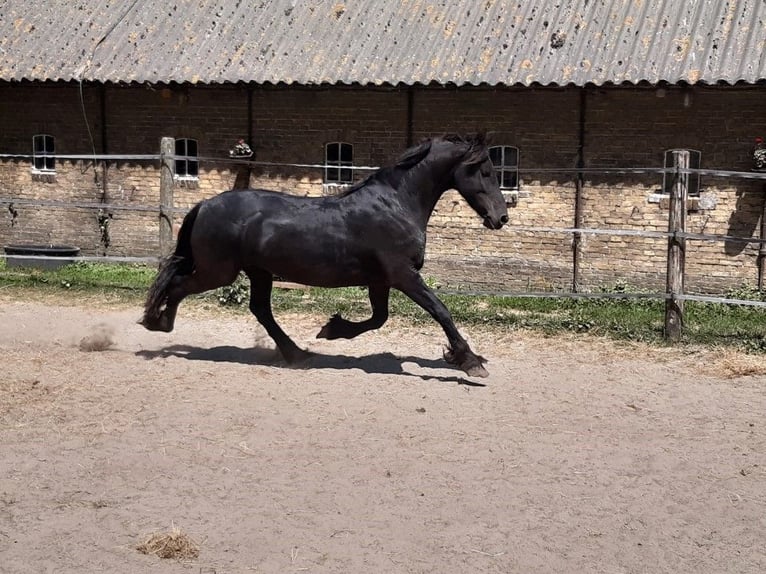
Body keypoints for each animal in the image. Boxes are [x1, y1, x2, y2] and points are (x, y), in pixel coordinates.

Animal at [141, 134, 509, 377]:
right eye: (486, 171)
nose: (501, 218)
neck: (396, 204)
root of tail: (204, 205)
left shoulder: (381, 280)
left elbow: (379, 318)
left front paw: (331, 330)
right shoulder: (403, 275)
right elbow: (440, 311)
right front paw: (471, 362)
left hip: (257, 271)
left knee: (259, 309)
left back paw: (297, 353)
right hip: (219, 272)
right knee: (179, 286)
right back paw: (157, 322)